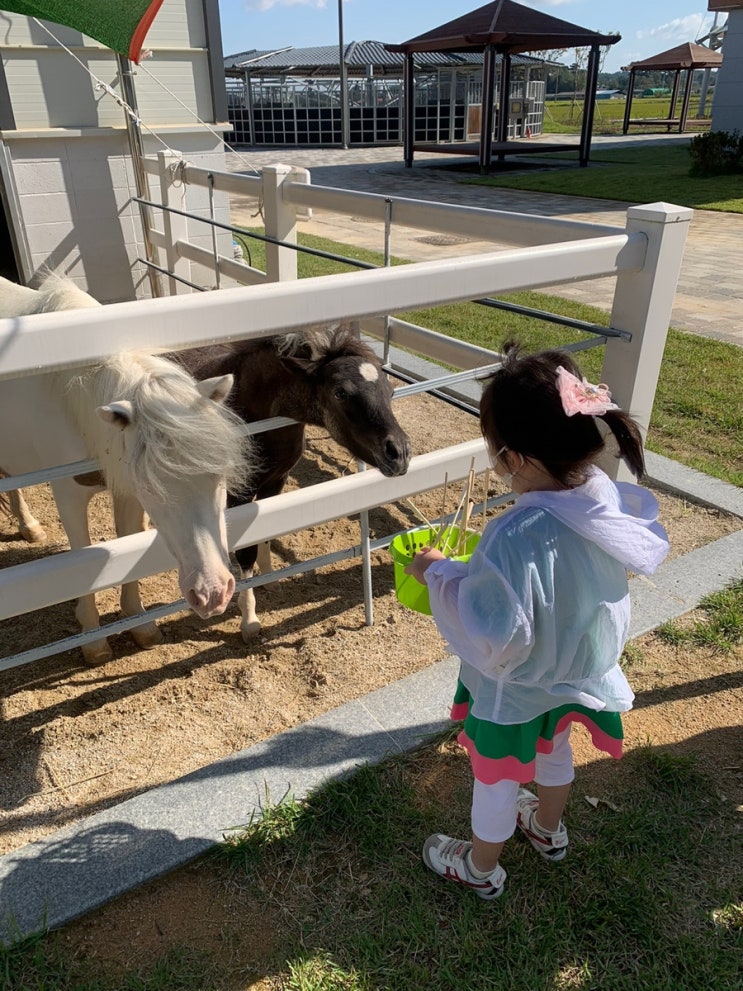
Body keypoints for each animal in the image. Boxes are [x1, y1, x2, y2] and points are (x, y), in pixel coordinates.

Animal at [0, 278, 253, 668]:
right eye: (153, 489)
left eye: (220, 476)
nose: (212, 594)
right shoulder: (69, 495)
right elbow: (81, 565)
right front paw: (93, 641)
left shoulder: (125, 491)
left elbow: (129, 547)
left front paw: (140, 625)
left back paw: (29, 526)